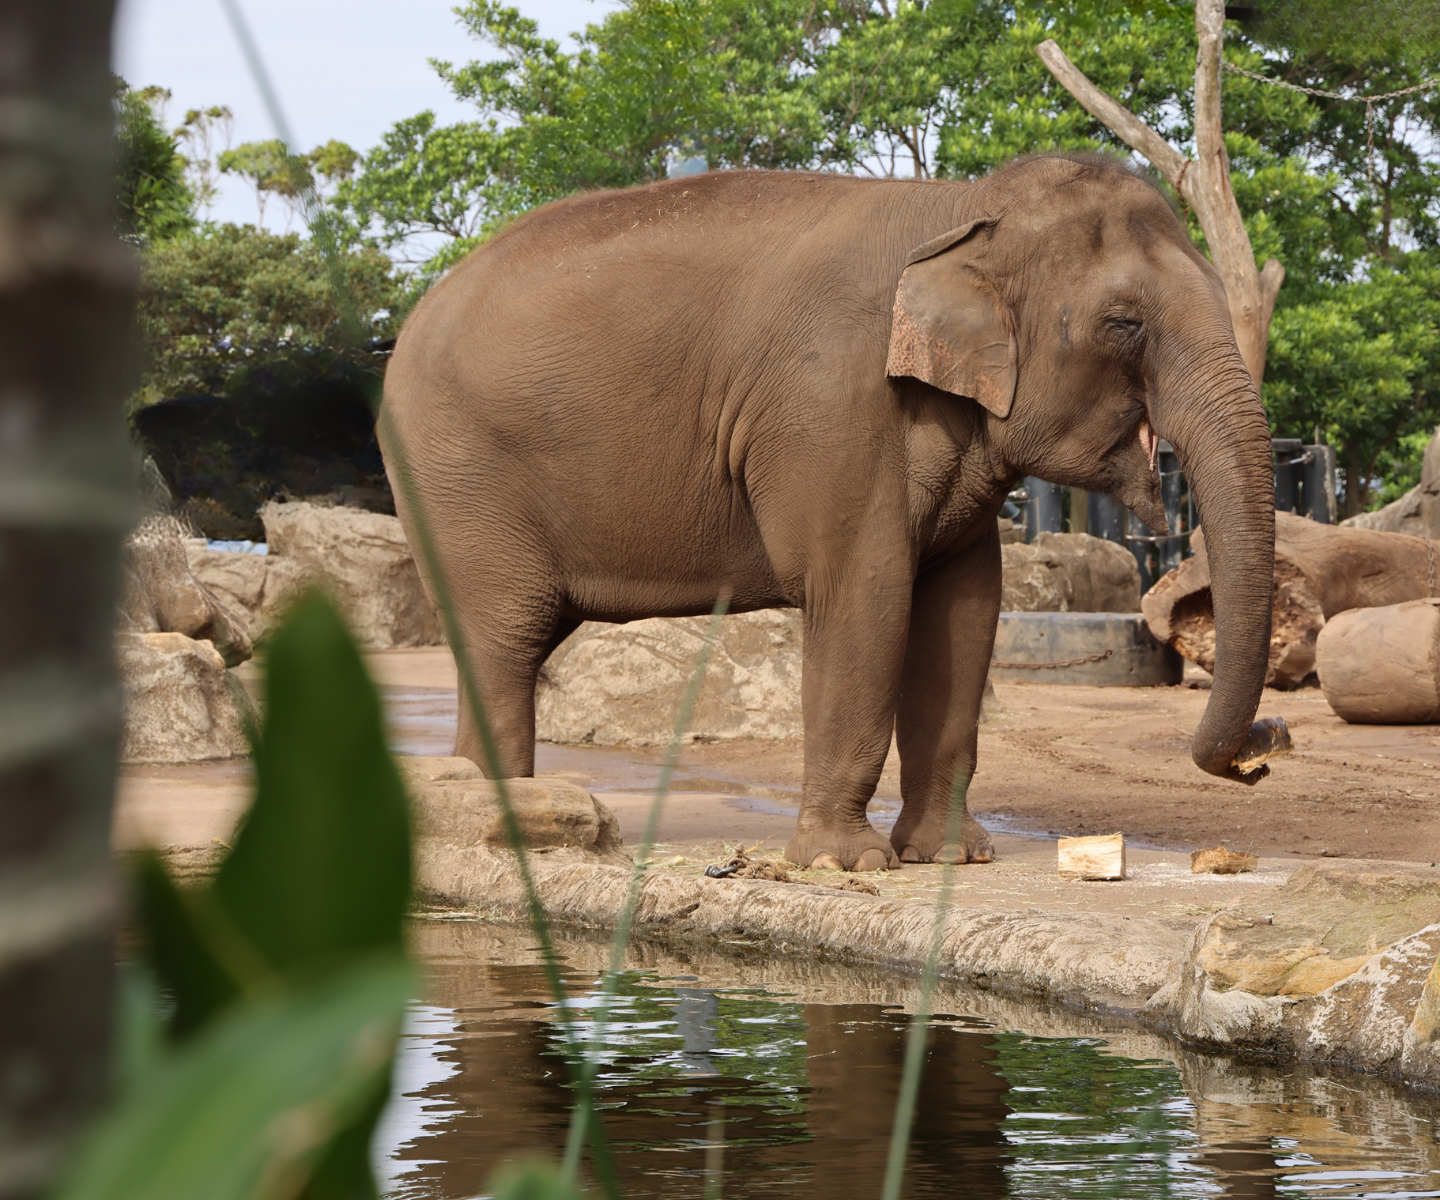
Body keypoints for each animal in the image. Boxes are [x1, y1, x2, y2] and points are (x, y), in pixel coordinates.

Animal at [380, 154, 1276, 872]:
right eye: (1124, 324)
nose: (1260, 754)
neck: (960, 208)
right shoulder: (833, 408)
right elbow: (864, 595)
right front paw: (845, 865)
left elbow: (966, 610)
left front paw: (950, 858)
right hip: (456, 475)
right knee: (504, 640)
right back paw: (509, 822)